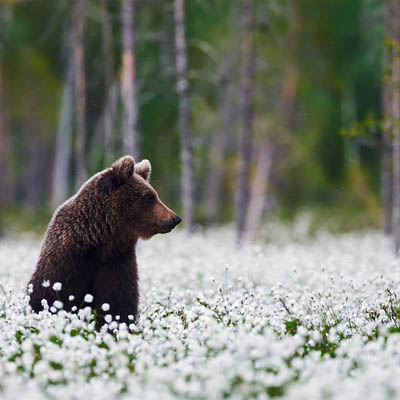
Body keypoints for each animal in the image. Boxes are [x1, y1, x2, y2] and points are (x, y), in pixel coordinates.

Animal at [28, 156, 182, 328]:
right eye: (149, 197)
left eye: (154, 195)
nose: (175, 218)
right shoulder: (68, 260)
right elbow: (51, 294)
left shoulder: (117, 261)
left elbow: (118, 301)